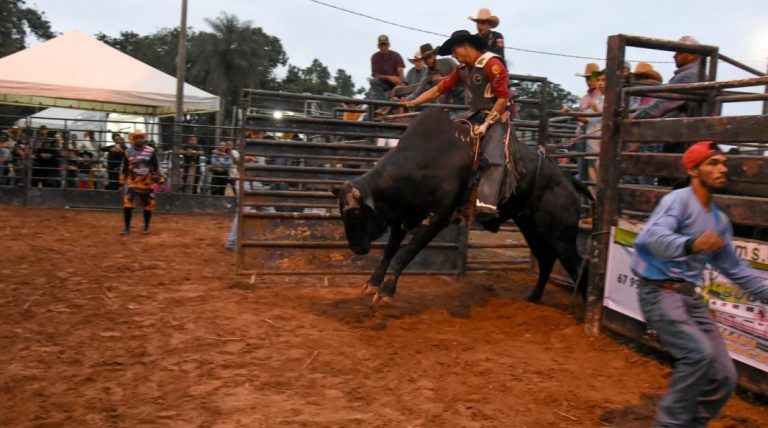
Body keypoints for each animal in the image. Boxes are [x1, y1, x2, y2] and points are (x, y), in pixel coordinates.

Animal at [332, 108, 592, 302]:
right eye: (342, 213)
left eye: (357, 213)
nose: (356, 248)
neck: (424, 160)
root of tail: (567, 180)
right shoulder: (405, 214)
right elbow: (390, 249)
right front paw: (373, 283)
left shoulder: (439, 217)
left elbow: (408, 251)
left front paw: (387, 290)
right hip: (532, 228)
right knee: (547, 259)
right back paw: (534, 296)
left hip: (561, 234)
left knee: (577, 265)